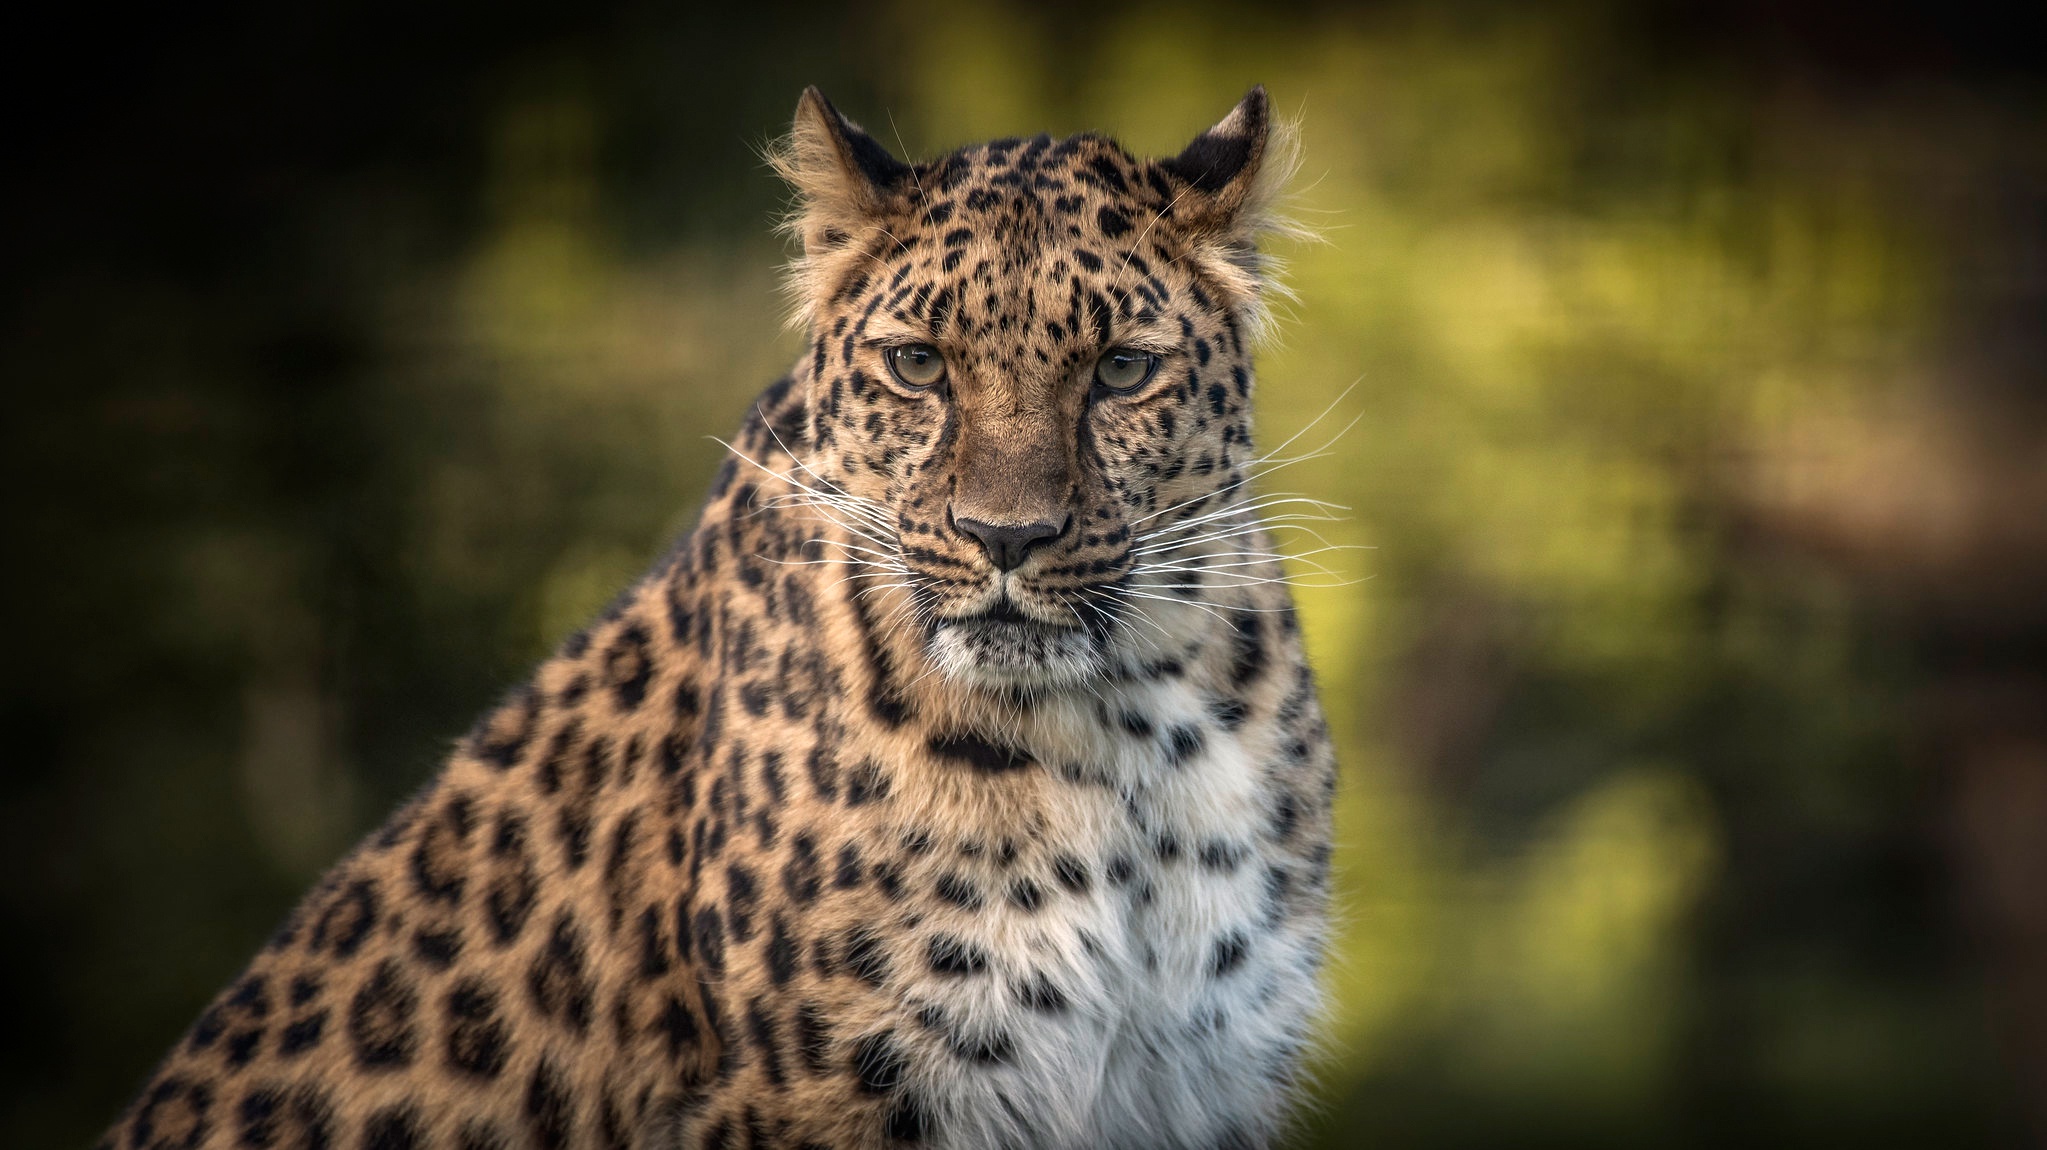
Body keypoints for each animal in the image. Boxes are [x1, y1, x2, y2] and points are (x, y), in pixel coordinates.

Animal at [99, 82, 1342, 1145]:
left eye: (1122, 370)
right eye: (918, 365)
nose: (1005, 536)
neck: (1124, 738)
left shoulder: (1208, 1072)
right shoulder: (819, 1093)